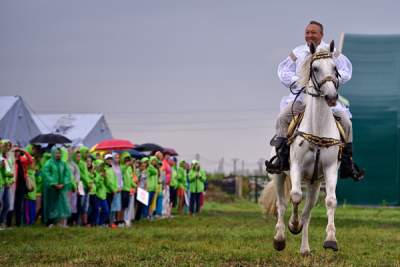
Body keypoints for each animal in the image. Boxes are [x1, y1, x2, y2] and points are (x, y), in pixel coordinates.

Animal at [264, 40, 342, 256]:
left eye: (335, 68)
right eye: (315, 68)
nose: (331, 96)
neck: (318, 130)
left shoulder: (330, 169)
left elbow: (331, 201)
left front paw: (331, 240)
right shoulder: (296, 166)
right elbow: (295, 196)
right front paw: (293, 225)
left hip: (314, 184)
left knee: (307, 213)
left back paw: (305, 249)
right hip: (279, 176)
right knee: (282, 205)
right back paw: (280, 238)